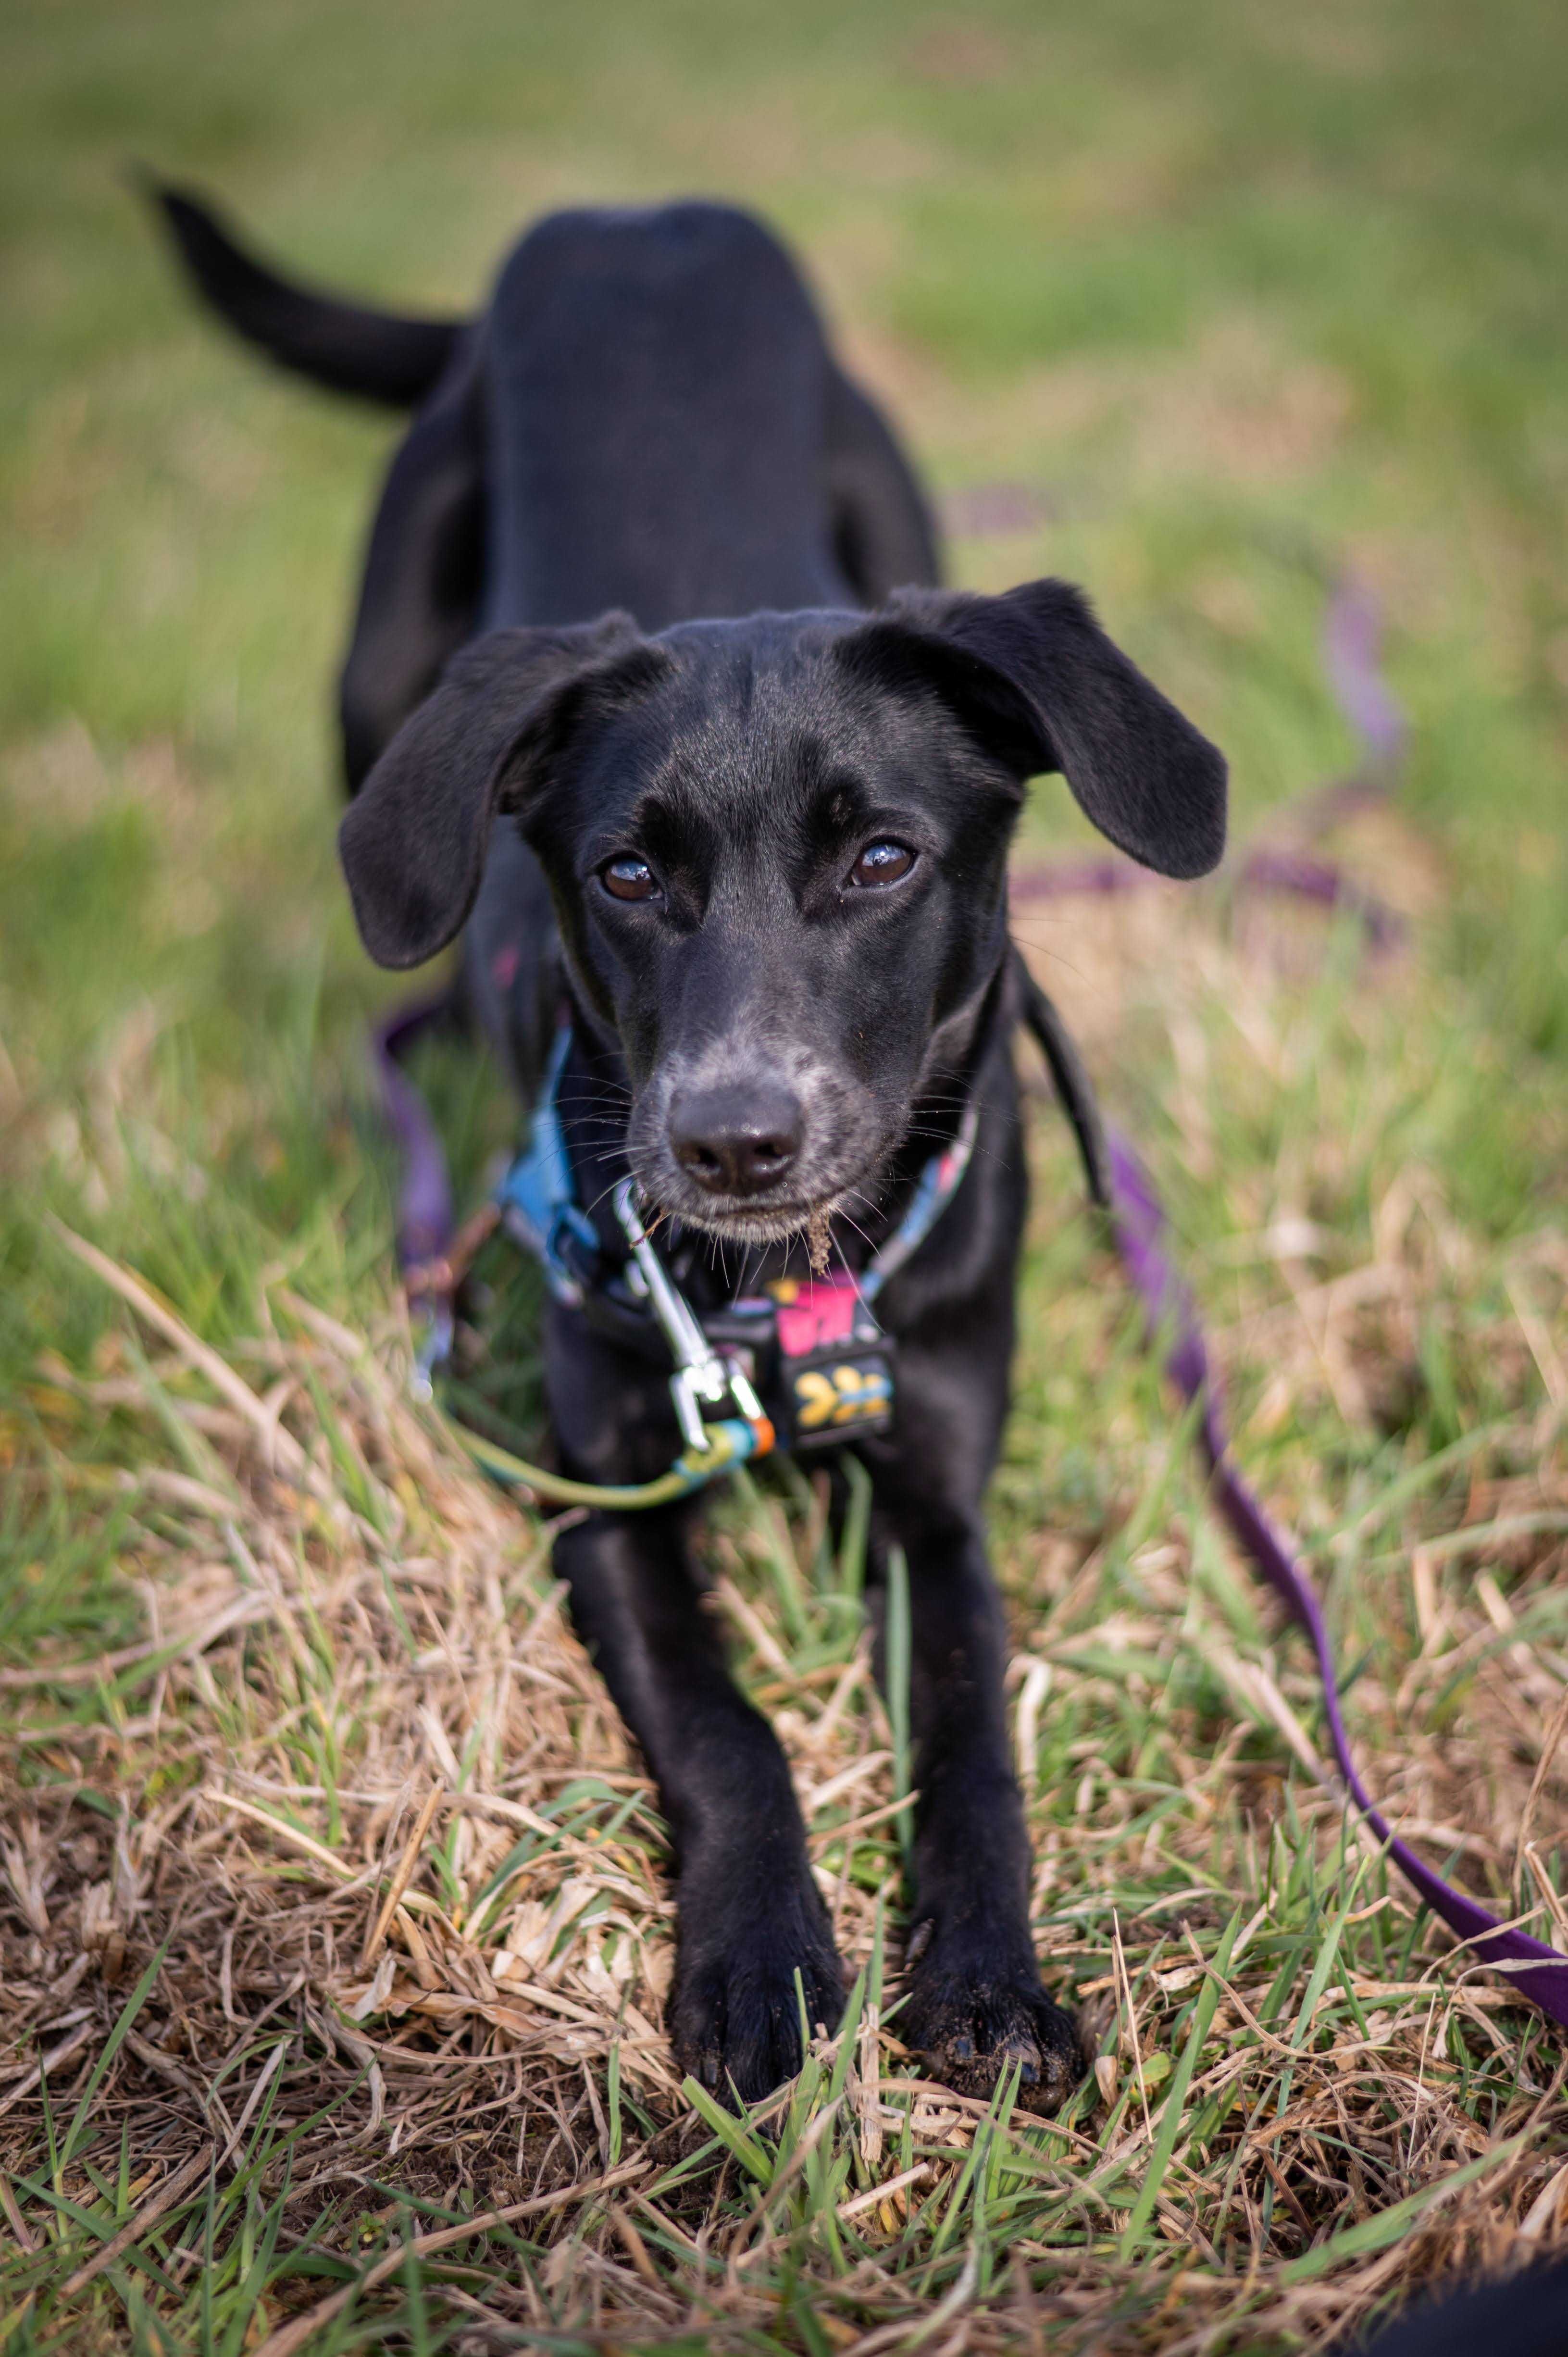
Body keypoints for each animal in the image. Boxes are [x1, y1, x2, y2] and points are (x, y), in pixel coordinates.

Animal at [153, 179, 1226, 2102]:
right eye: (626, 872)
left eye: (880, 858)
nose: (730, 1138)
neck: (772, 1293)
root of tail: (633, 215)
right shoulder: (602, 1501)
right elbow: (730, 1726)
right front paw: (759, 1963)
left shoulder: (939, 1493)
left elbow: (973, 1733)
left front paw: (989, 1977)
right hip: (377, 665)